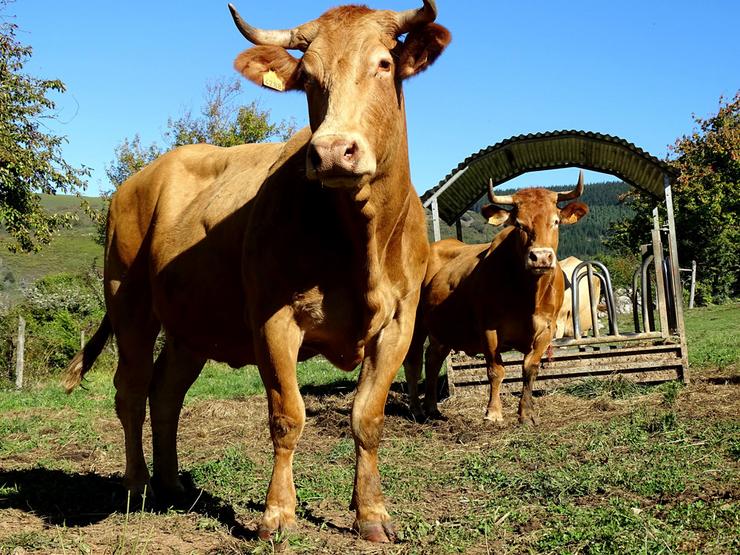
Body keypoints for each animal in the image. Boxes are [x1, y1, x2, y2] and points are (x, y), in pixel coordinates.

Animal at [62, 1, 450, 544]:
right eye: (307, 78)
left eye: (384, 64)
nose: (332, 151)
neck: (361, 243)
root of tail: (139, 179)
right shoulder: (273, 318)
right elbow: (287, 415)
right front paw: (277, 515)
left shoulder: (399, 323)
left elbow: (367, 417)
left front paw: (372, 514)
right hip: (128, 301)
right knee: (132, 391)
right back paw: (137, 487)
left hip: (192, 326)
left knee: (166, 393)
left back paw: (171, 485)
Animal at [402, 174, 588, 426]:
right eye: (519, 224)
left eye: (556, 221)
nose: (540, 257)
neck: (528, 295)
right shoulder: (489, 329)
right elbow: (496, 370)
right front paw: (493, 412)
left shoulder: (547, 329)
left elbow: (530, 368)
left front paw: (526, 413)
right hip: (416, 322)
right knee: (413, 362)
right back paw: (417, 409)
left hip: (443, 329)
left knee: (433, 359)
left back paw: (432, 408)